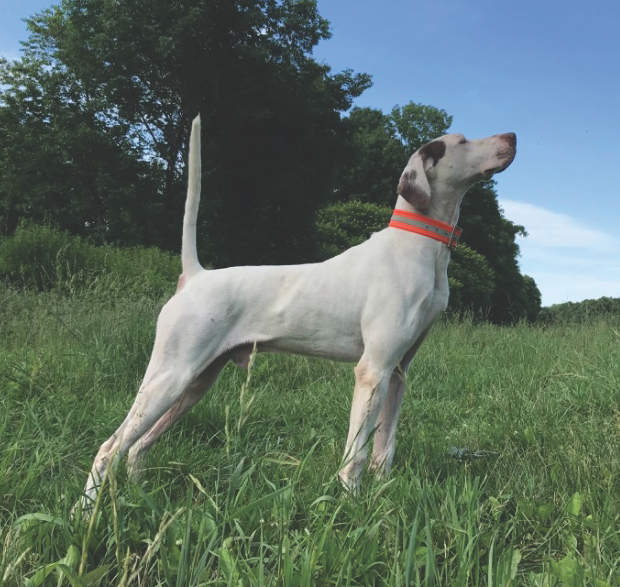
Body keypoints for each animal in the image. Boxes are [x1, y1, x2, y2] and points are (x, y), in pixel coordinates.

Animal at [77, 116, 516, 510]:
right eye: (461, 141)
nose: (512, 136)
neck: (418, 246)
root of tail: (195, 275)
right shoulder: (372, 370)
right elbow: (356, 454)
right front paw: (349, 504)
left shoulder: (398, 373)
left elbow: (383, 450)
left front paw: (381, 498)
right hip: (170, 376)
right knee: (110, 447)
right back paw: (83, 512)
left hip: (194, 385)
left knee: (138, 447)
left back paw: (142, 497)